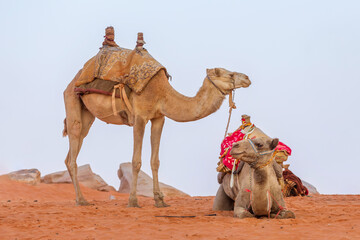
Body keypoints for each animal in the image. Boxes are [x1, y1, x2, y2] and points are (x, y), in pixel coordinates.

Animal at [62, 67, 250, 206]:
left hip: (88, 113)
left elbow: (155, 161)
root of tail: (73, 80)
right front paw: (133, 201)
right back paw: (81, 200)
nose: (247, 78)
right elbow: (136, 161)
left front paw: (160, 200)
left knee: (76, 144)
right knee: (73, 143)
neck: (163, 95)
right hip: (72, 99)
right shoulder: (139, 118)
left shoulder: (159, 118)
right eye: (230, 74)